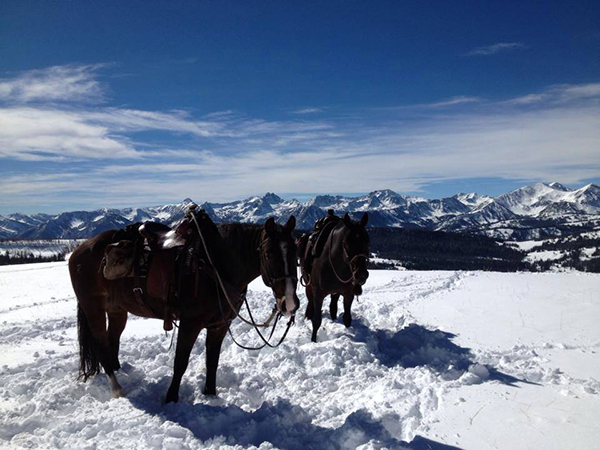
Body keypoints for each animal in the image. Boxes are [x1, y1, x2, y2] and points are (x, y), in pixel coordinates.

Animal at [69, 211, 298, 404]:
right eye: (269, 254)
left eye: (295, 252)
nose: (290, 304)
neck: (215, 266)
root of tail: (78, 251)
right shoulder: (190, 324)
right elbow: (180, 362)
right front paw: (171, 399)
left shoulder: (219, 326)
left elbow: (212, 360)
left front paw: (210, 395)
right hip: (93, 308)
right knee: (101, 343)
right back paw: (117, 388)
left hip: (117, 310)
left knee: (112, 339)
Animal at [300, 213, 370, 342]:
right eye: (347, 243)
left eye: (367, 241)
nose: (361, 274)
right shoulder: (318, 294)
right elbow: (316, 321)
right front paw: (313, 340)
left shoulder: (348, 294)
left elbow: (347, 318)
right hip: (309, 285)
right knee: (311, 302)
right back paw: (309, 314)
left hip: (336, 292)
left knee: (333, 305)